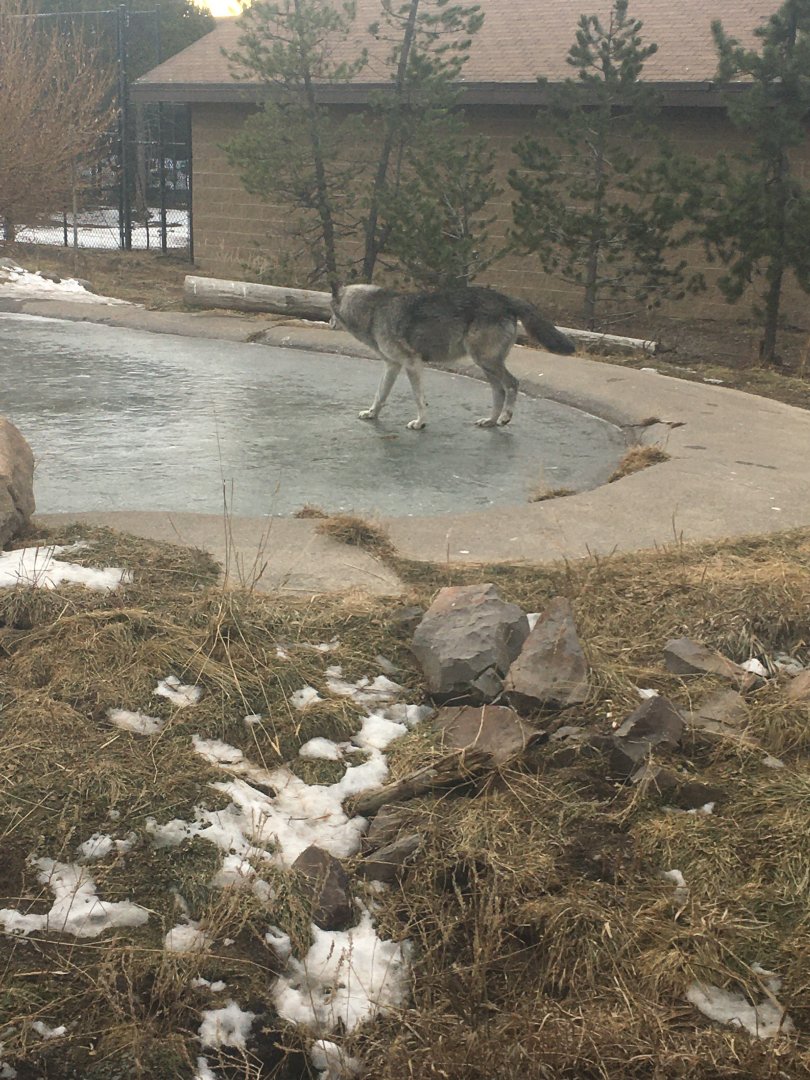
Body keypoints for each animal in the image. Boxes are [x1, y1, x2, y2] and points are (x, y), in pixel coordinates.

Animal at [331, 284, 576, 430]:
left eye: (331, 310)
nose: (330, 323)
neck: (373, 311)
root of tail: (505, 298)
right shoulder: (392, 365)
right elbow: (380, 395)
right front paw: (371, 414)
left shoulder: (412, 364)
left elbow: (418, 399)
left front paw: (420, 423)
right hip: (485, 365)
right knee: (499, 390)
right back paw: (490, 421)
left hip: (485, 361)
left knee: (513, 384)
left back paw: (505, 418)